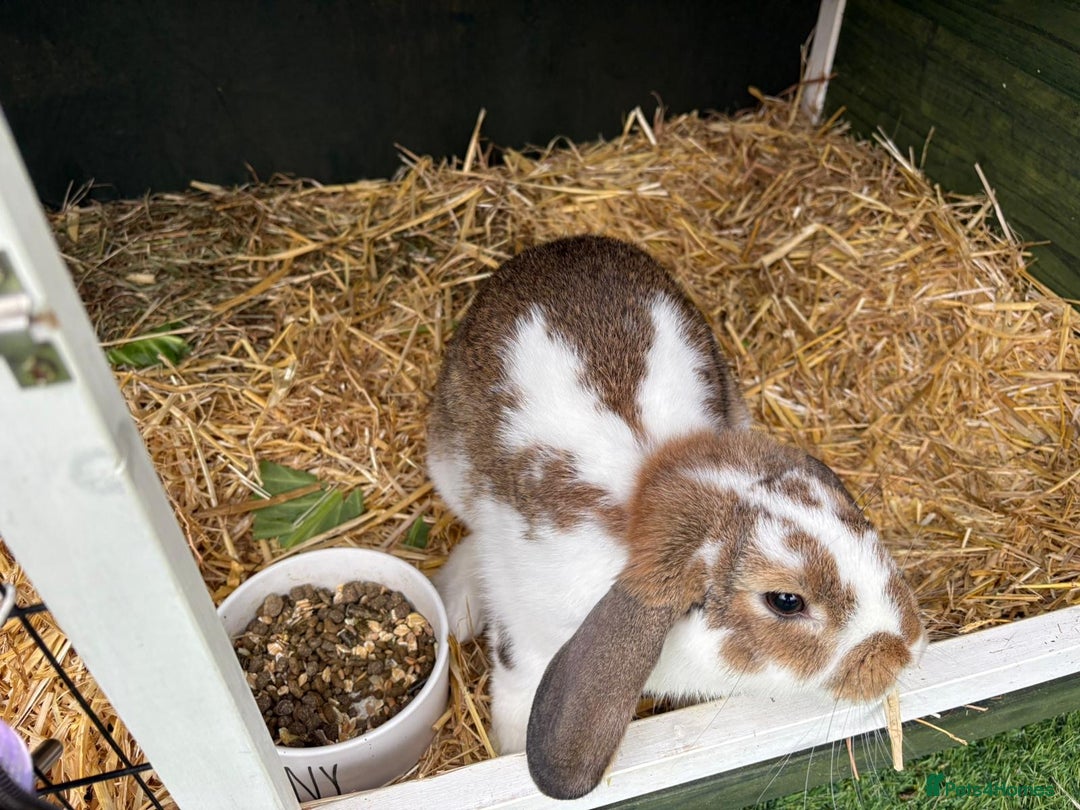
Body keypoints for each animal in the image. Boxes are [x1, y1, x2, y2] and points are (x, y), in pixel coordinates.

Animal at [427, 235, 925, 800]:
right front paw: (507, 750)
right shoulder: (524, 638)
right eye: (785, 601)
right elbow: (515, 695)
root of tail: (562, 246)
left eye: (860, 525)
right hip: (446, 463)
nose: (905, 651)